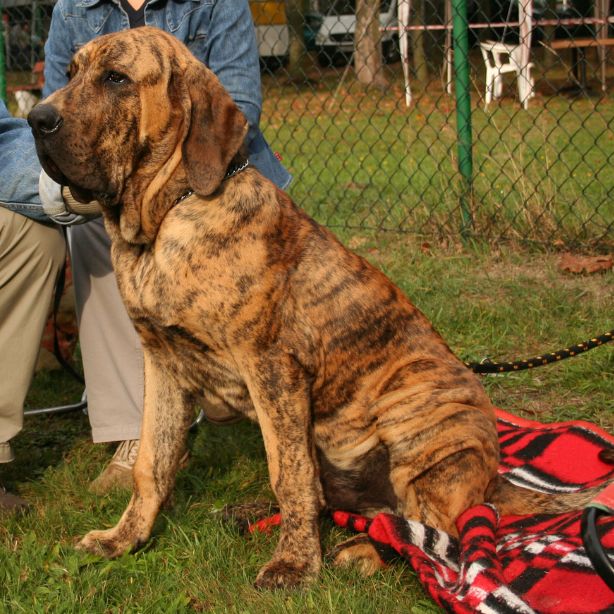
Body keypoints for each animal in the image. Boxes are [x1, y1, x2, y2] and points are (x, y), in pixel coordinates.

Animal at [30, 26, 608, 588]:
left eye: (116, 78)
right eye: (70, 72)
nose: (36, 120)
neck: (165, 219)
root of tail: (492, 473)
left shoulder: (273, 368)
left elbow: (289, 474)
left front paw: (294, 563)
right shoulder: (164, 363)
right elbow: (153, 462)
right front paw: (123, 539)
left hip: (419, 422)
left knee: (440, 530)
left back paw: (366, 549)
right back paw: (257, 514)